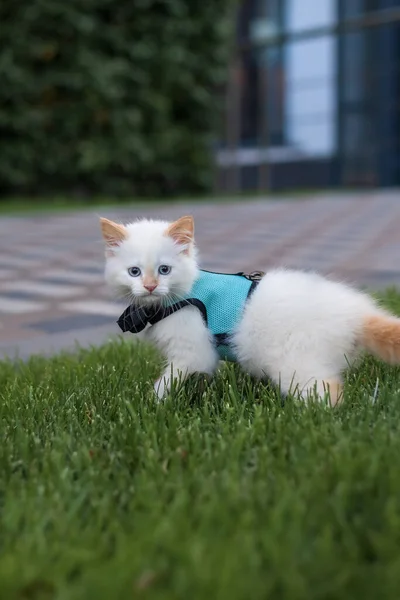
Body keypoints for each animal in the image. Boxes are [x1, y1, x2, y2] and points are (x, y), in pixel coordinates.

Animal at [101, 213, 400, 406]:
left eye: (165, 270)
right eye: (134, 272)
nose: (150, 286)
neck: (186, 290)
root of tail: (356, 312)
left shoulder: (192, 352)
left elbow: (169, 379)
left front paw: (152, 403)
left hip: (294, 360)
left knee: (329, 392)